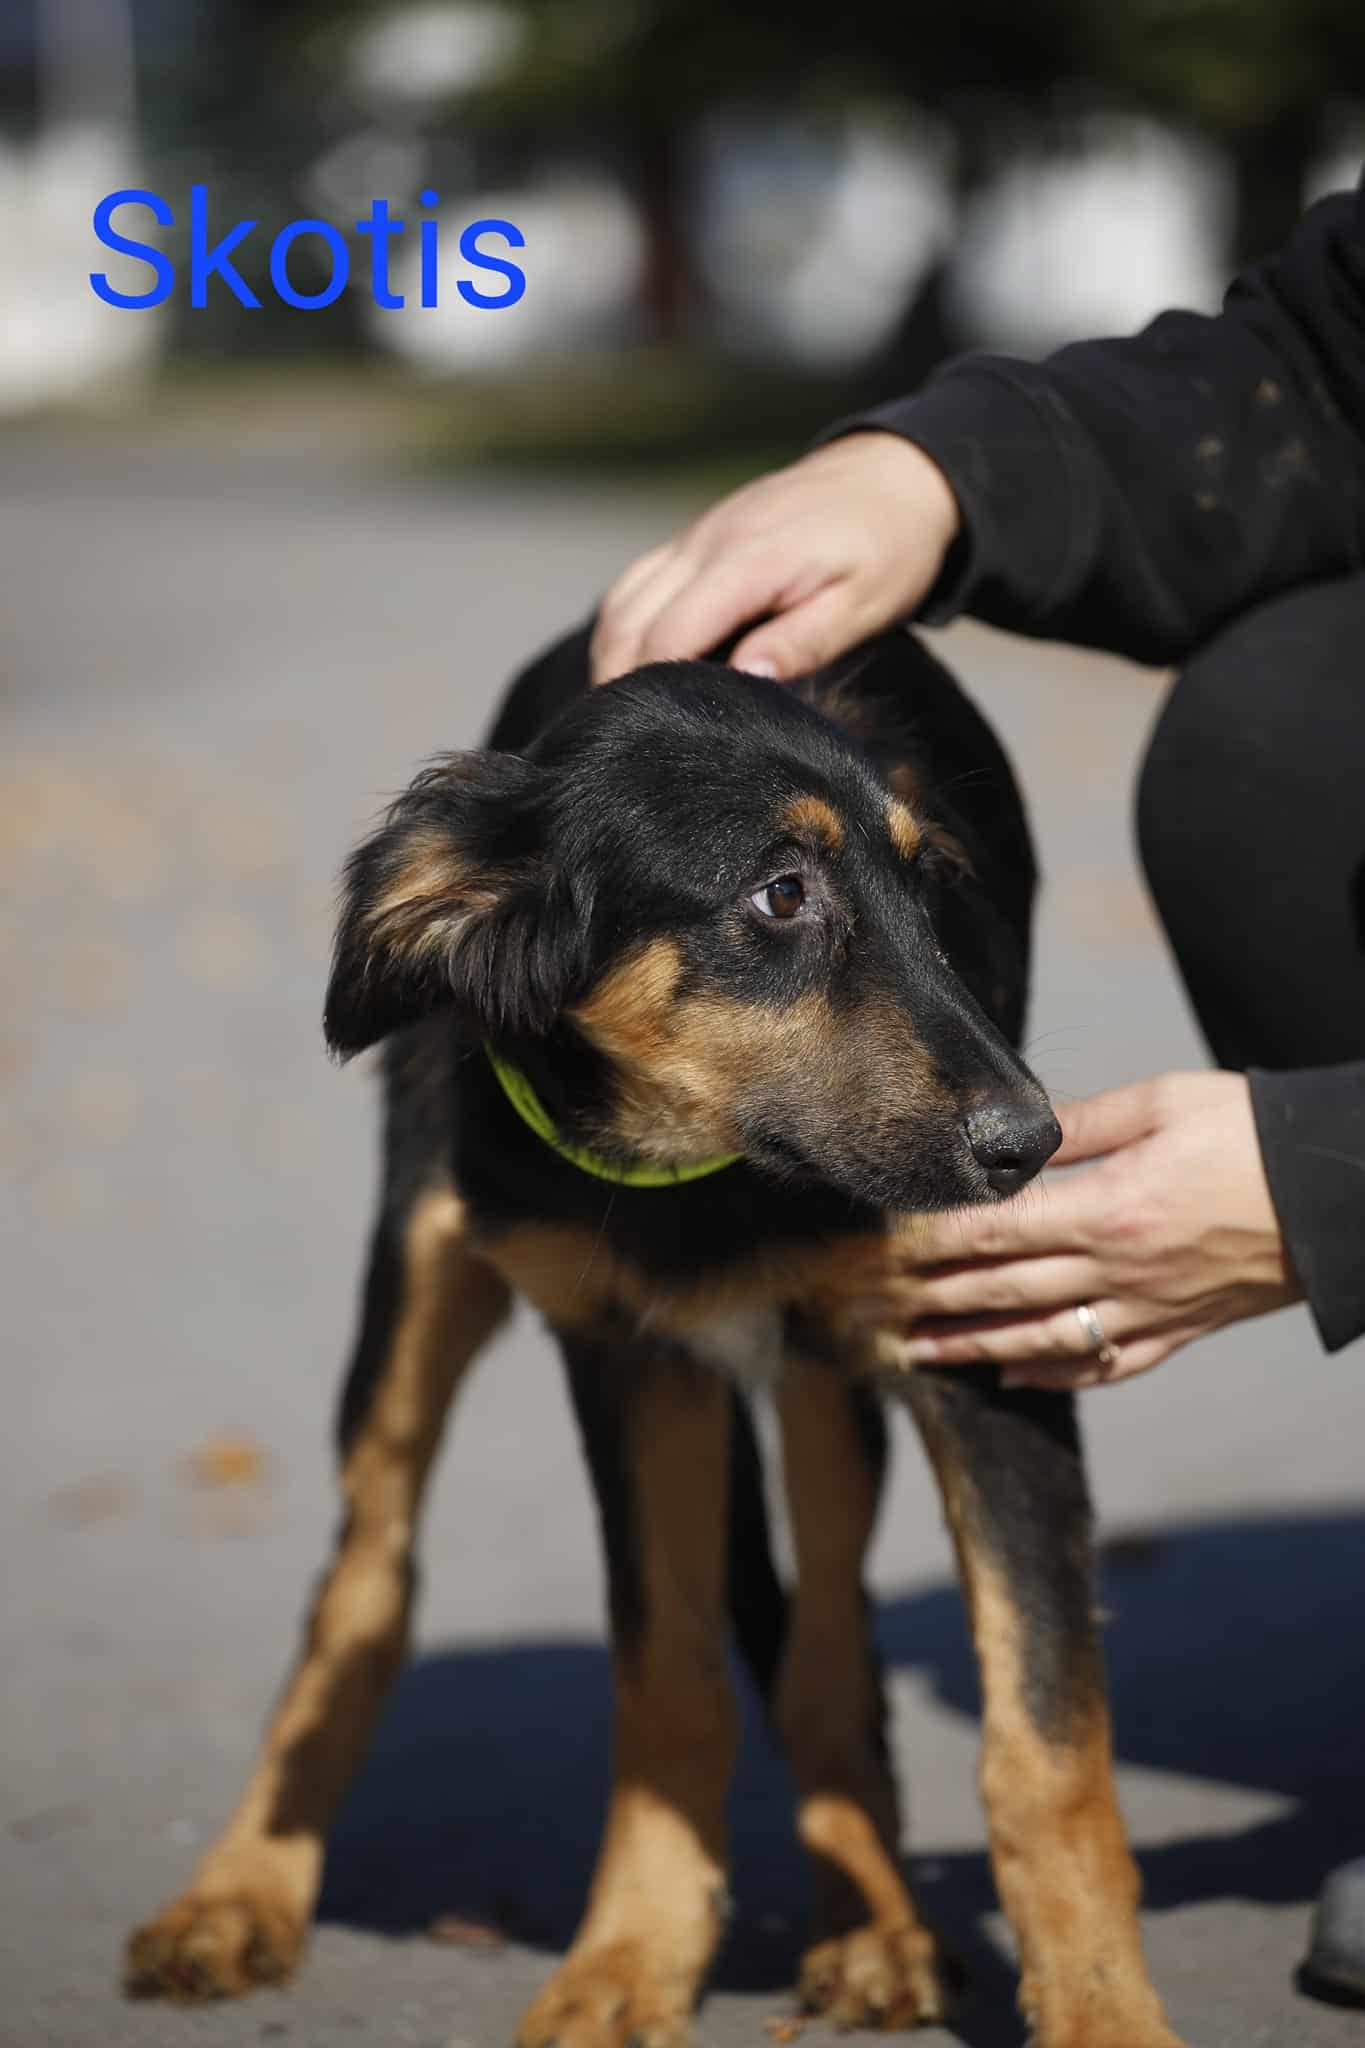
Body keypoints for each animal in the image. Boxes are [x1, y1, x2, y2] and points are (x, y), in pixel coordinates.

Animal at [125, 624, 1183, 2047]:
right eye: (782, 894)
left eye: (931, 883)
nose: (1032, 1146)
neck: (715, 1170)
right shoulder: (637, 1365)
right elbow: (669, 1679)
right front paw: (630, 1955)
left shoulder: (985, 1347)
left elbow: (1046, 1746)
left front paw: (1102, 2010)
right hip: (423, 1267)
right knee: (364, 1579)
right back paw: (240, 1888)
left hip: (823, 1380)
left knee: (827, 1630)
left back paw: (874, 1927)